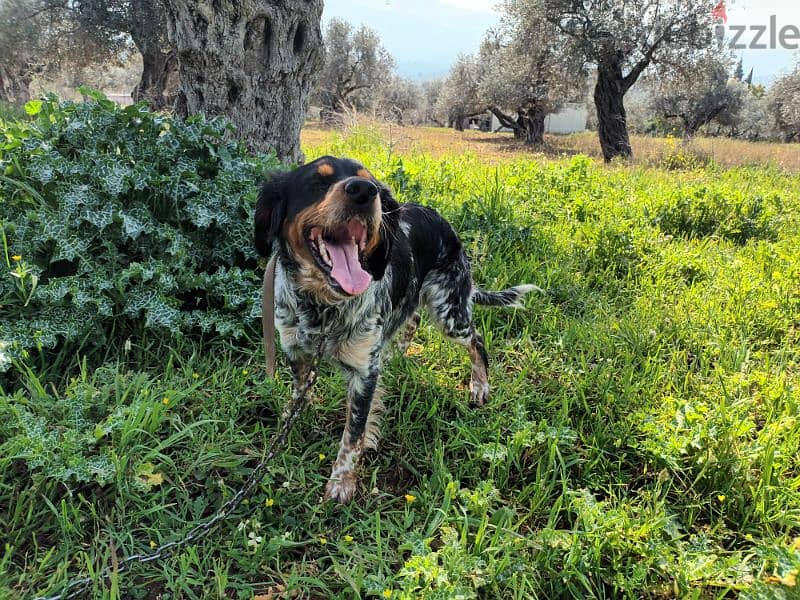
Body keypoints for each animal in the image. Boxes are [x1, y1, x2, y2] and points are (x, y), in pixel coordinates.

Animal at [253, 157, 536, 504]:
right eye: (317, 182)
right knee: (410, 320)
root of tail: (441, 219)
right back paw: (397, 356)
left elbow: (353, 434)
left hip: (450, 311)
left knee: (476, 339)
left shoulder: (363, 373)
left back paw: (479, 386)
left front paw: (342, 482)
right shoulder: (295, 350)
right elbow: (298, 393)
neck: (322, 306)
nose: (364, 191)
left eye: (371, 182)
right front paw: (293, 420)